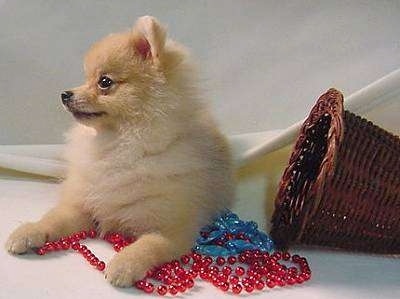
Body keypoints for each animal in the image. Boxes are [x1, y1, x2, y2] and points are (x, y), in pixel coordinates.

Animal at [4, 16, 233, 288]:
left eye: (105, 82)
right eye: (86, 78)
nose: (65, 94)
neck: (120, 143)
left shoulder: (172, 229)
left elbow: (148, 245)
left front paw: (125, 264)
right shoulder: (84, 207)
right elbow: (53, 218)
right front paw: (29, 231)